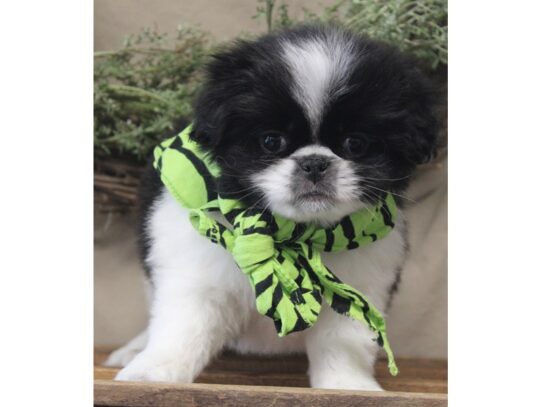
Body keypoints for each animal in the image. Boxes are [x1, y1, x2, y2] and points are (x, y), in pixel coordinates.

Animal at [105, 23, 438, 392]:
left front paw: (347, 385)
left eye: (355, 144)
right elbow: (182, 328)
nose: (315, 163)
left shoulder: (362, 282)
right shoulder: (197, 274)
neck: (293, 237)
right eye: (271, 141)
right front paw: (152, 373)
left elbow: (342, 341)